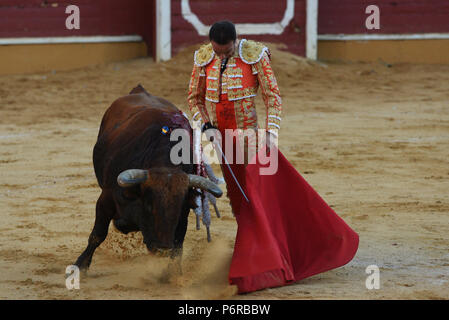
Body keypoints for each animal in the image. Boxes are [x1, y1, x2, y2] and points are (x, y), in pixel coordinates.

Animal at [74, 84, 222, 272]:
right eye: (149, 204)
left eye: (178, 206)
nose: (162, 249)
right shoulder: (105, 198)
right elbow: (98, 234)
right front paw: (80, 266)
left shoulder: (184, 213)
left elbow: (178, 244)